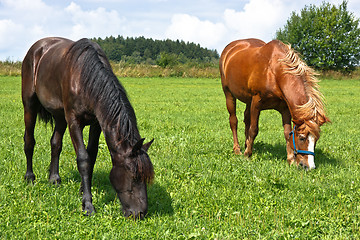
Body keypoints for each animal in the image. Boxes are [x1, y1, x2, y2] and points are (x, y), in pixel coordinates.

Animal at [22, 36, 155, 218]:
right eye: (134, 176)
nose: (140, 213)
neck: (84, 78)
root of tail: (37, 47)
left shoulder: (96, 123)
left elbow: (91, 156)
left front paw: (83, 190)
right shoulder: (74, 121)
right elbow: (83, 158)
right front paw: (88, 205)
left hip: (60, 116)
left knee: (55, 143)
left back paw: (54, 179)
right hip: (30, 105)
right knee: (29, 140)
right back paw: (30, 178)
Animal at [218, 38, 330, 170]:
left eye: (316, 139)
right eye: (302, 138)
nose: (309, 166)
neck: (274, 71)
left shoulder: (285, 109)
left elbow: (287, 133)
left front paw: (290, 159)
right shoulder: (256, 103)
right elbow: (253, 129)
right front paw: (247, 155)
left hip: (248, 100)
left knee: (246, 119)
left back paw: (247, 144)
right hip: (228, 93)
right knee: (233, 121)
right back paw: (238, 149)